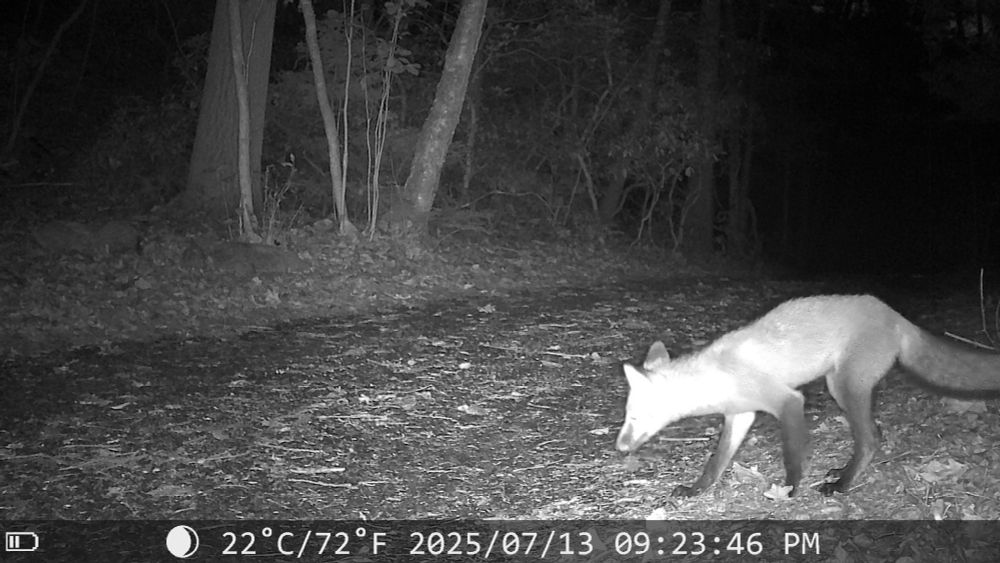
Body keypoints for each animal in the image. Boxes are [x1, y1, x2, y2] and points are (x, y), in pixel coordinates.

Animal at [616, 294, 1000, 497]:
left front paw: (788, 490)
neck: (717, 376)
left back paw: (842, 484)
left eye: (633, 417)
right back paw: (842, 475)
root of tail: (893, 313)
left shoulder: (787, 402)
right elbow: (717, 461)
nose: (619, 447)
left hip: (843, 386)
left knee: (872, 439)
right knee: (873, 436)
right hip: (840, 386)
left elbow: (792, 456)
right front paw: (697, 489)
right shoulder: (740, 415)